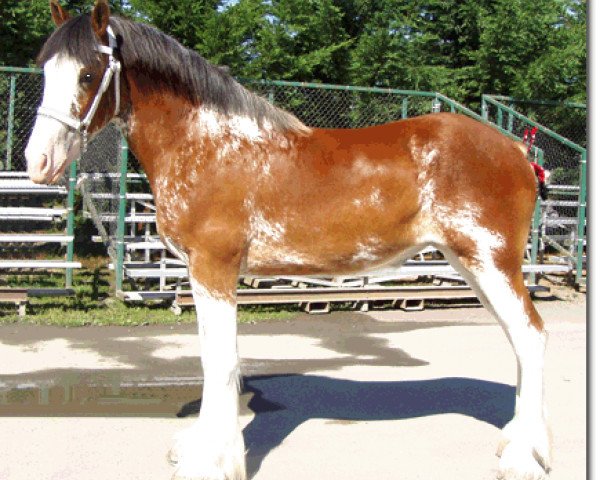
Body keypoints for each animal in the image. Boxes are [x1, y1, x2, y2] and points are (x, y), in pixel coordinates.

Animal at [25, 0, 552, 480]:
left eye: (88, 74)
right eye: (45, 71)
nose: (38, 162)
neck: (208, 145)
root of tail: (516, 149)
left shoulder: (215, 267)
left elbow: (221, 359)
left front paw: (213, 462)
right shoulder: (199, 272)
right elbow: (209, 354)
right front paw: (198, 447)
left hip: (491, 261)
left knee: (530, 336)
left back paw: (523, 458)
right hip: (471, 265)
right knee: (518, 339)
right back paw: (517, 441)